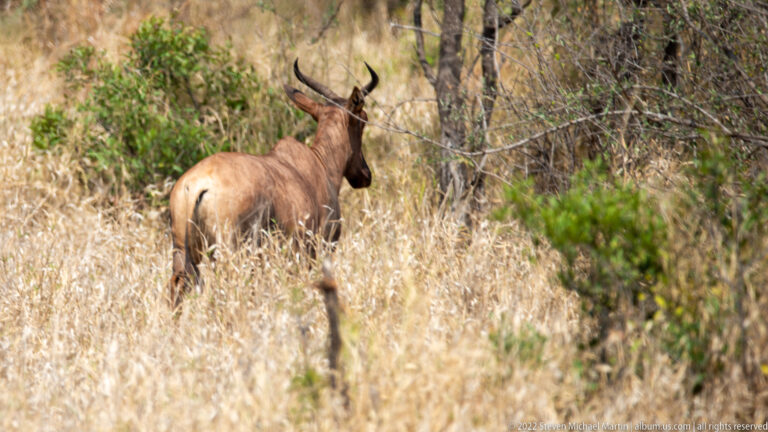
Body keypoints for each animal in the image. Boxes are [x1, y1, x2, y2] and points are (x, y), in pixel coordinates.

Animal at [168, 59, 378, 307]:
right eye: (363, 119)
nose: (365, 175)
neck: (317, 162)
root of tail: (197, 185)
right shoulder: (314, 251)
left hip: (183, 253)